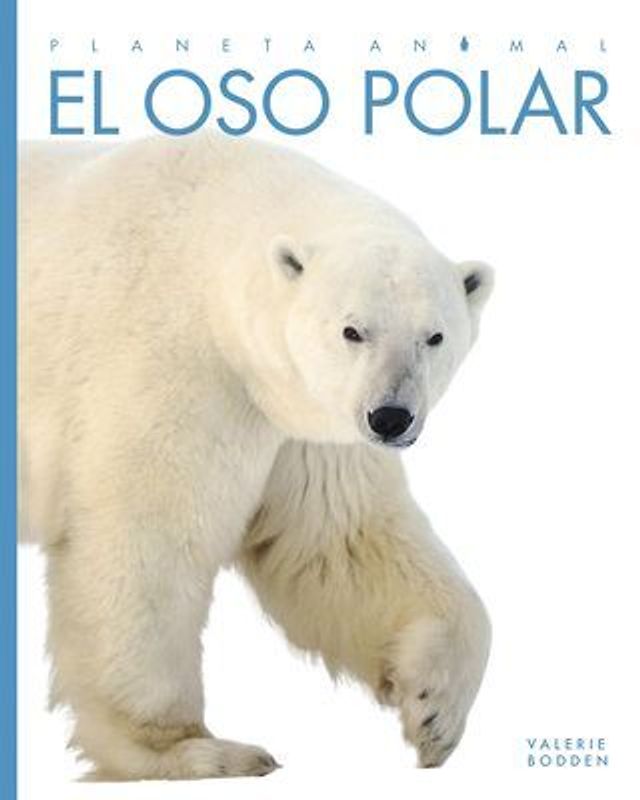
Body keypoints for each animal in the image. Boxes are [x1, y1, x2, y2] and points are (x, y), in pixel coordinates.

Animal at [19, 132, 494, 780]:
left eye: (435, 336)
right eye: (352, 330)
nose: (391, 417)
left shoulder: (300, 423)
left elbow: (341, 540)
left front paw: (434, 711)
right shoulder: (174, 363)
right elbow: (146, 542)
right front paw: (193, 750)